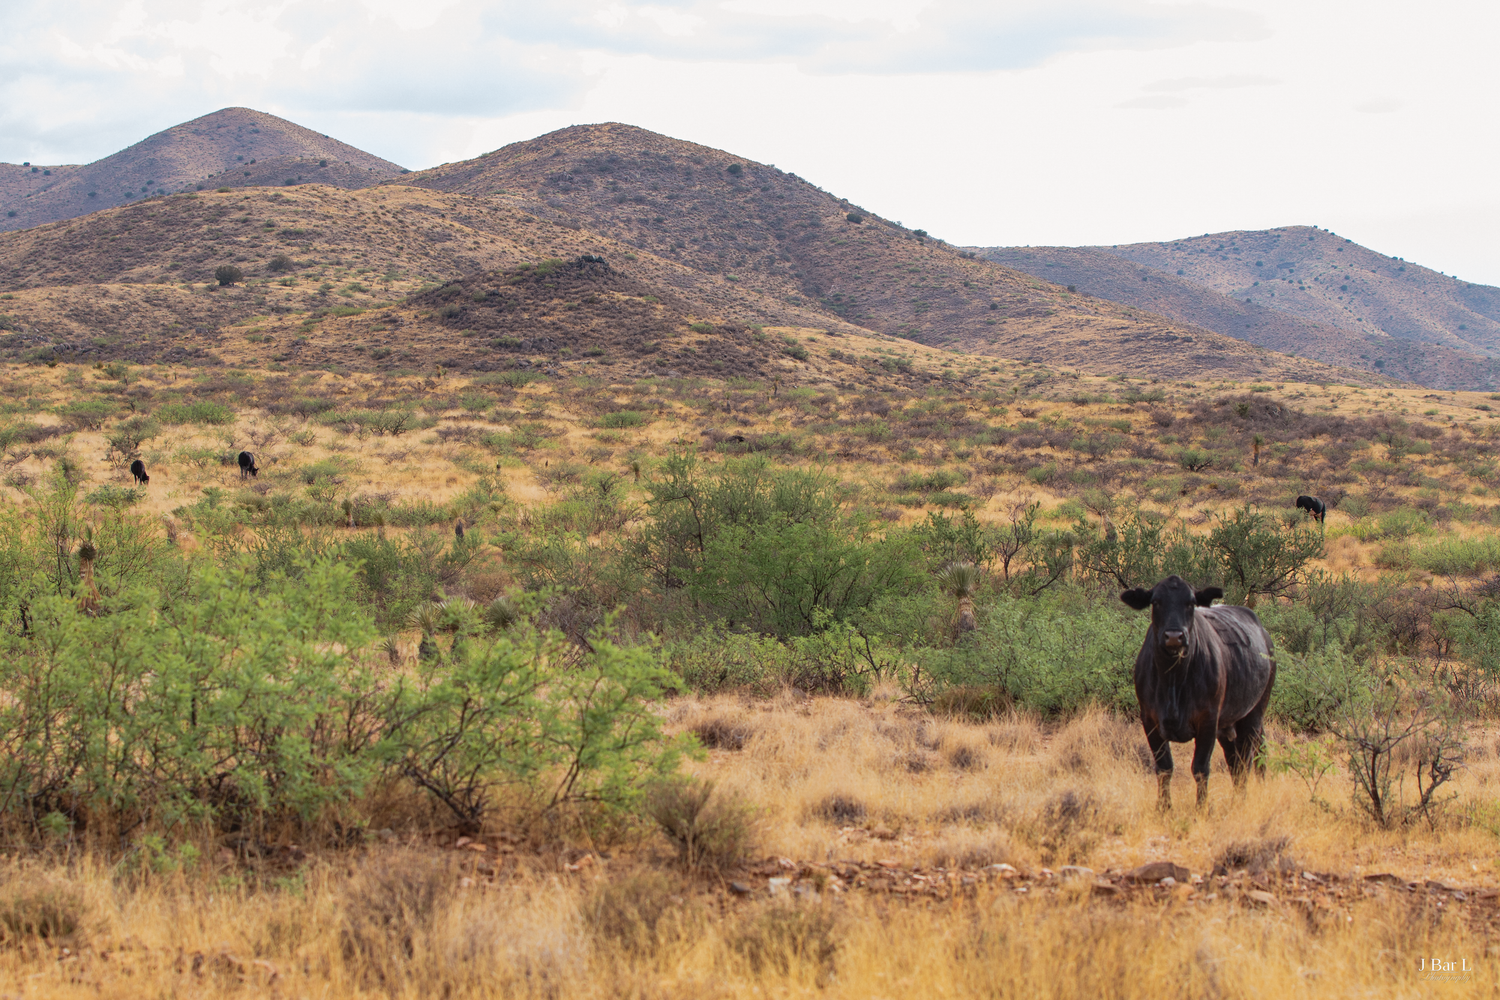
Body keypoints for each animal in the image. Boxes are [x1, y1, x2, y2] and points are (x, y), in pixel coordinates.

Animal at [1120, 576, 1276, 810]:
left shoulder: (1208, 721)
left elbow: (1200, 768)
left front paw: (1201, 809)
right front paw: (1164, 808)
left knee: (1247, 760)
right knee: (1235, 762)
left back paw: (1240, 800)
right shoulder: (1149, 720)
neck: (1173, 679)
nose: (1174, 636)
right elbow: (1164, 767)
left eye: (1191, 602)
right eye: (1156, 601)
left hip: (1253, 715)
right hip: (1228, 726)